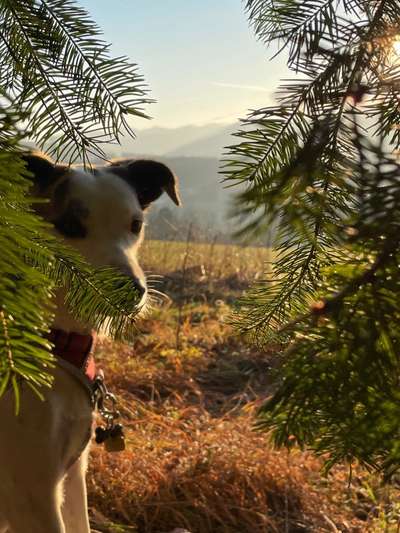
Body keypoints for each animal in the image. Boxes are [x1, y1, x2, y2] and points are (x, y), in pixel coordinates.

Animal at [0, 152, 180, 528]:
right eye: (69, 226)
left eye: (135, 224)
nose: (131, 292)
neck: (57, 342)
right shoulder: (32, 492)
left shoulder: (71, 476)